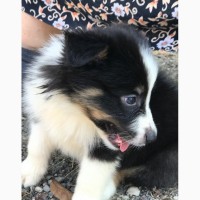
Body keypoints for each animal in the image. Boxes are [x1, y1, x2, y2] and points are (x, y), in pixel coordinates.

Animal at [22, 25, 178, 200]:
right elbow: (36, 145)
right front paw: (28, 172)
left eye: (150, 97)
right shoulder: (43, 114)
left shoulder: (103, 151)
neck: (73, 107)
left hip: (169, 158)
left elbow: (91, 178)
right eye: (131, 99)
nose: (152, 138)